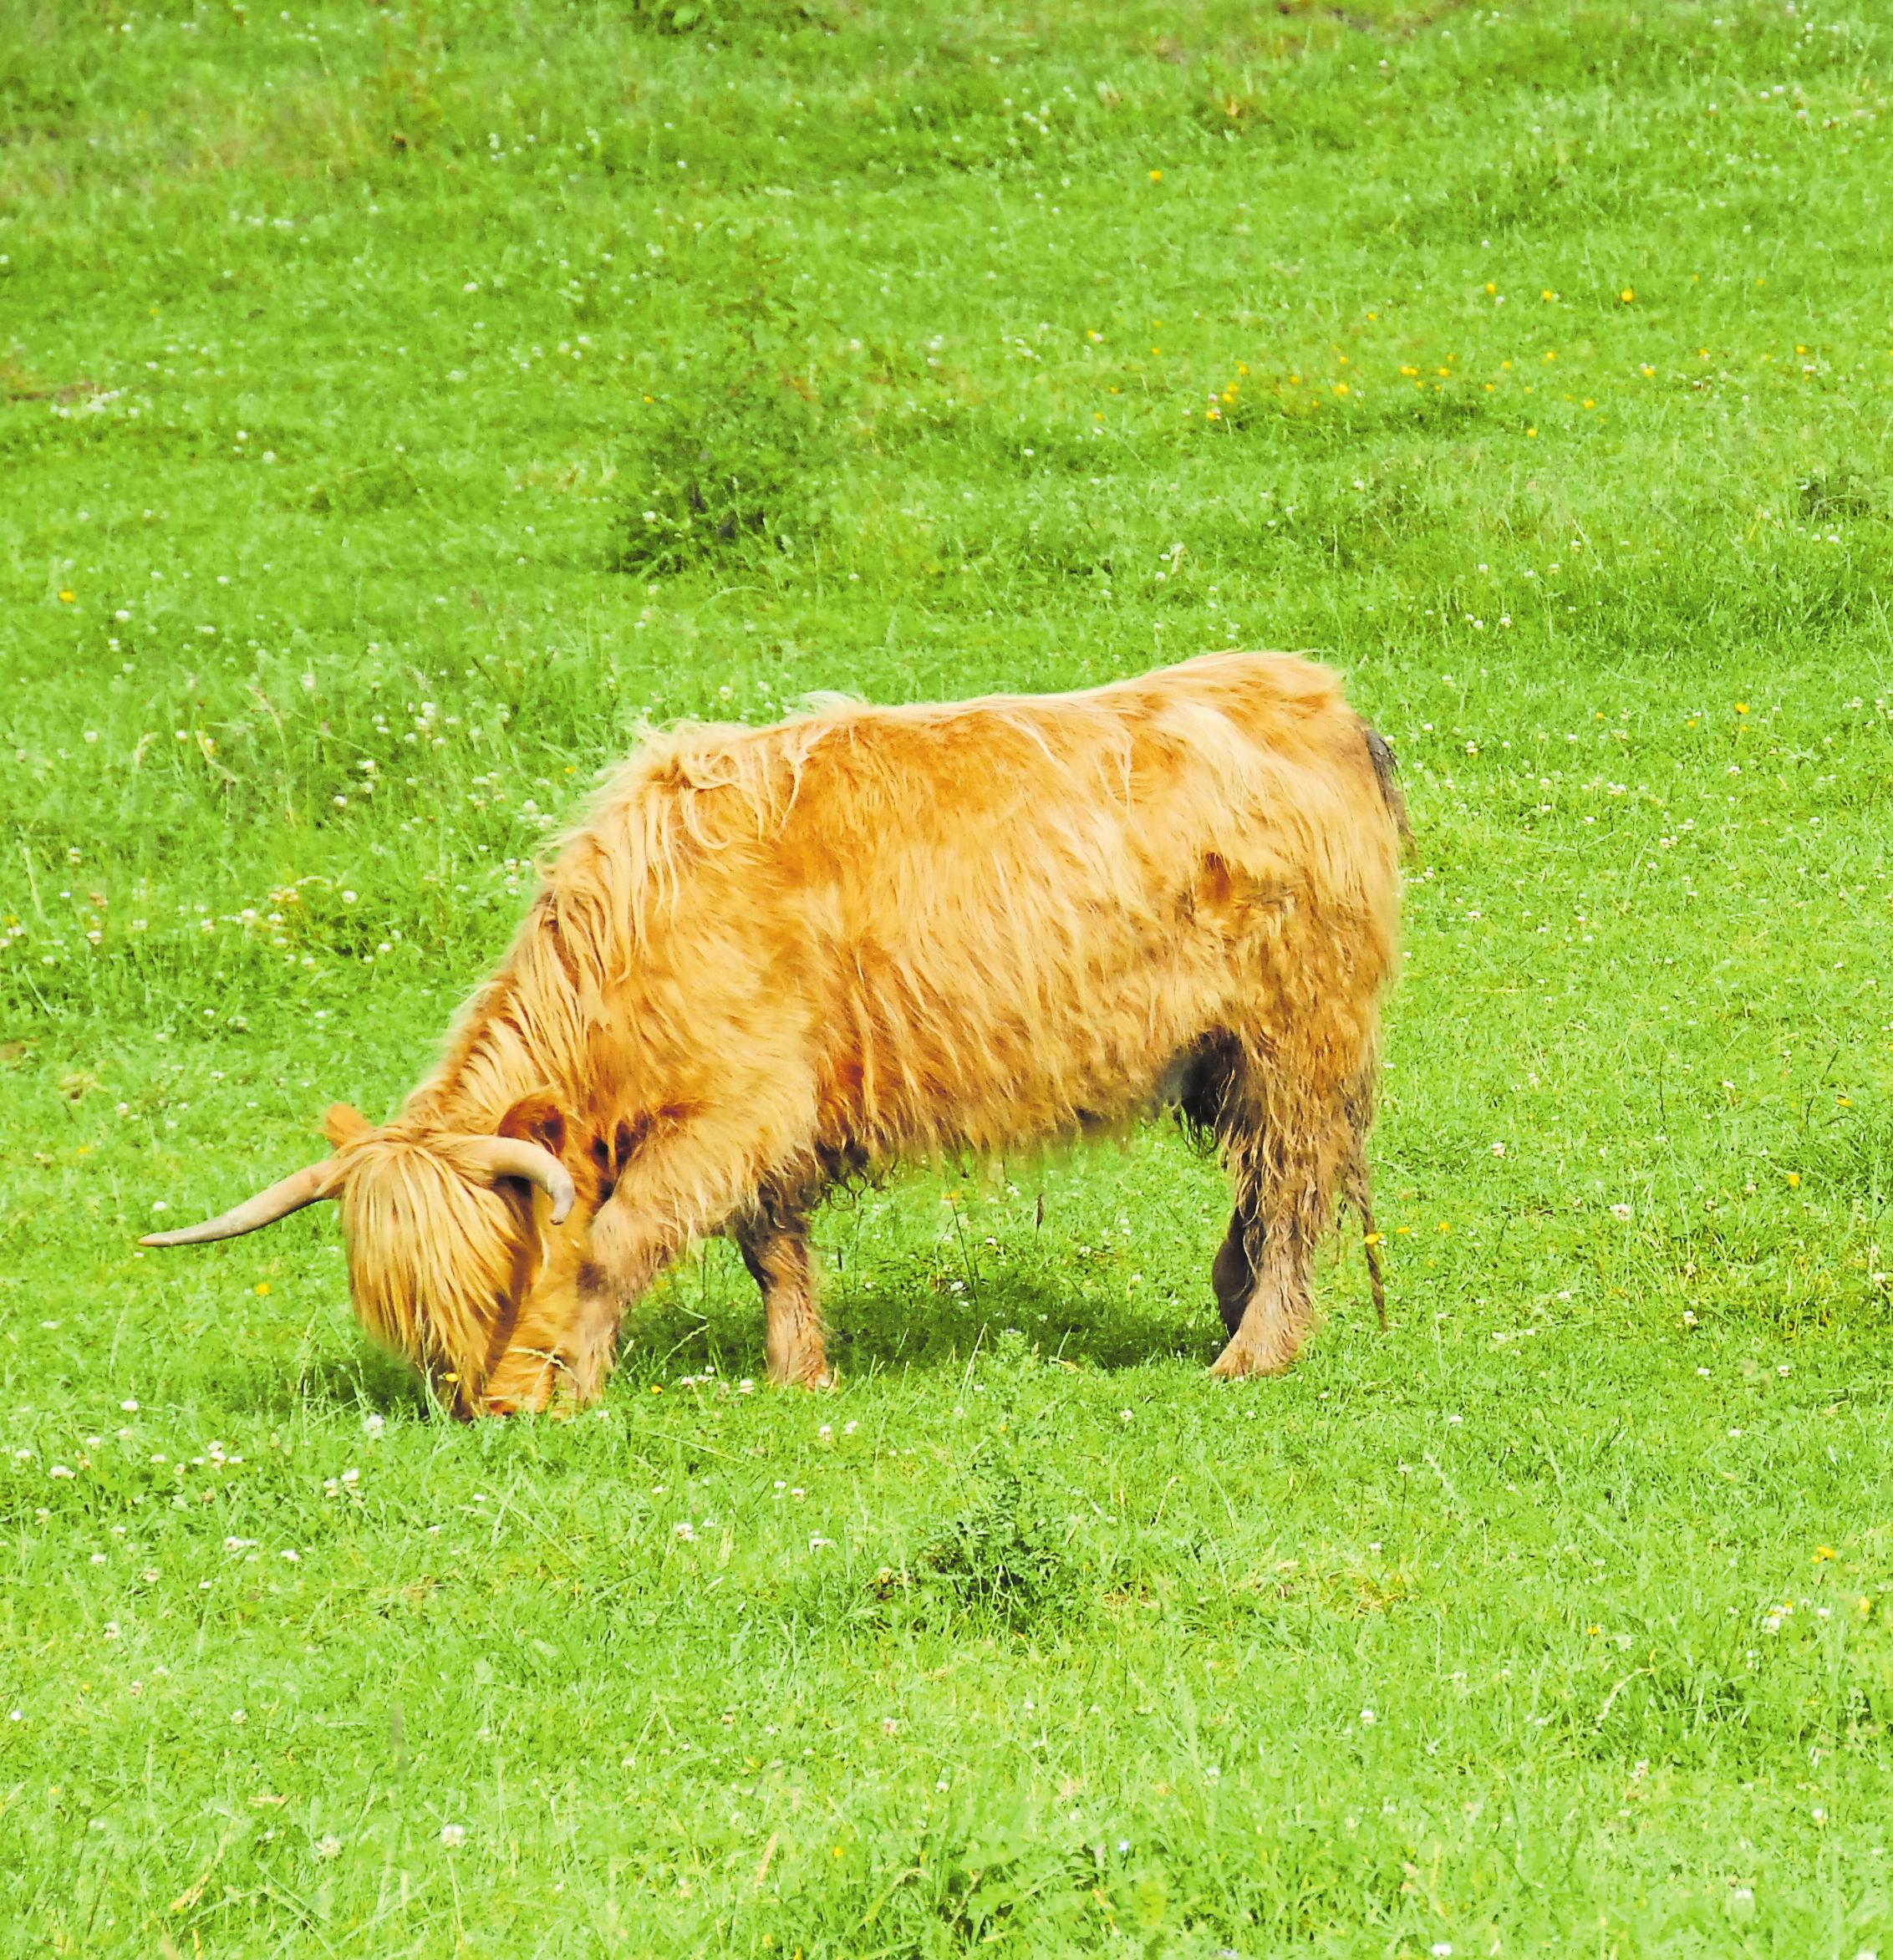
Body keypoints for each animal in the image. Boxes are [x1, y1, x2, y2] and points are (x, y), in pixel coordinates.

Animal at [140, 650, 1402, 1418]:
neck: (644, 920)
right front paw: (801, 1375)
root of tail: (1313, 692)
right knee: (1265, 1184)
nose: (487, 1406)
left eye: (501, 1273)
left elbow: (622, 1238)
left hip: (1298, 1037)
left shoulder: (740, 1106)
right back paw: (1233, 1304)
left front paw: (586, 1373)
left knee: (1296, 1183)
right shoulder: (768, 1122)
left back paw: (1252, 1350)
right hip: (1226, 1055)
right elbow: (774, 1249)